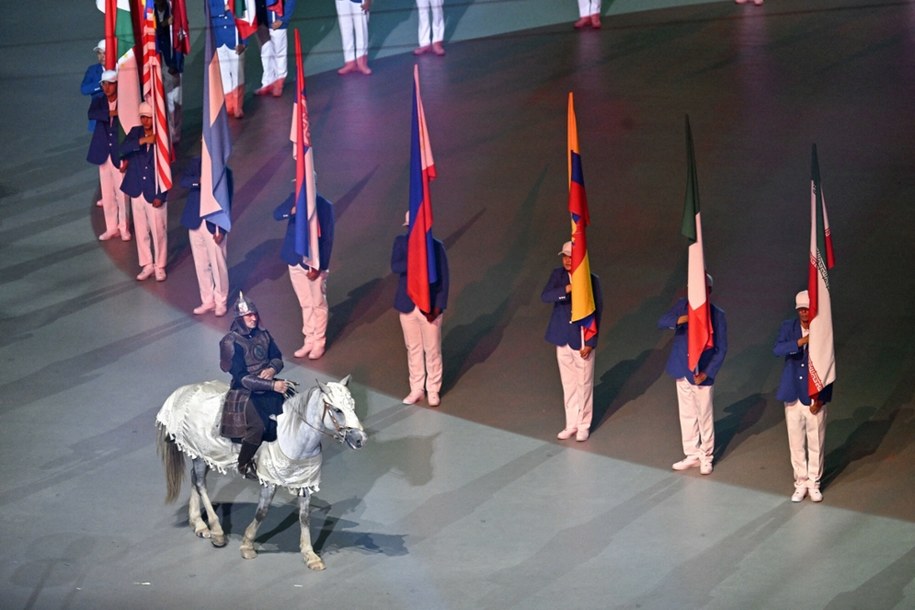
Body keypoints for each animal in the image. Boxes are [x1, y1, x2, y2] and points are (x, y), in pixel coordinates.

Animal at [156, 372, 366, 568]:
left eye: (353, 406)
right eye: (337, 410)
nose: (360, 439)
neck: (292, 433)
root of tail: (183, 391)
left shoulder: (303, 482)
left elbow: (304, 517)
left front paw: (310, 555)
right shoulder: (269, 481)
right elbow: (262, 512)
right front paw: (247, 545)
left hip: (202, 455)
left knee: (195, 480)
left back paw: (198, 524)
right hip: (200, 454)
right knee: (200, 484)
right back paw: (217, 531)